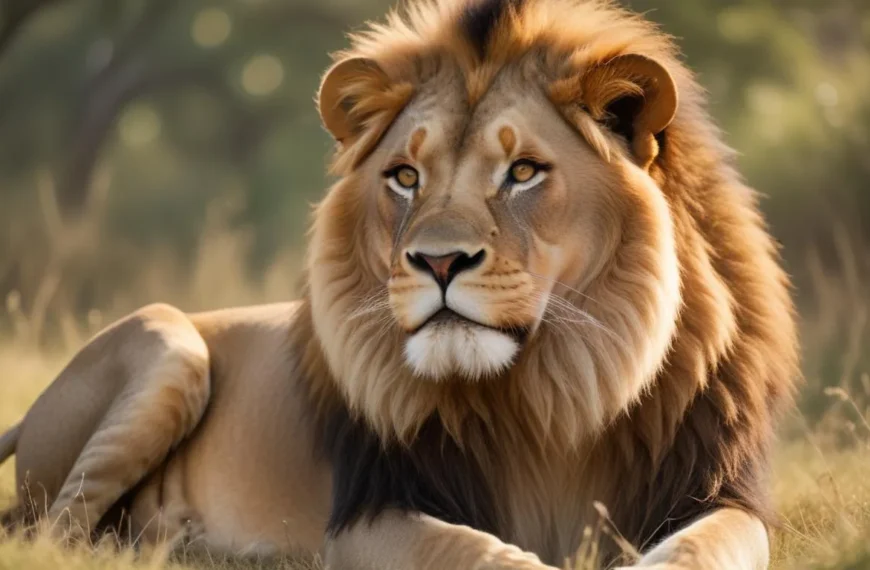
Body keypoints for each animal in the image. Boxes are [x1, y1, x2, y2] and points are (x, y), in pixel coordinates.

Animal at [0, 0, 798, 568]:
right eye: (406, 177)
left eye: (523, 171)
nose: (438, 263)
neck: (556, 392)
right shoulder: (368, 514)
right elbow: (477, 554)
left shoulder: (716, 491)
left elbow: (701, 549)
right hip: (171, 344)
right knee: (56, 533)